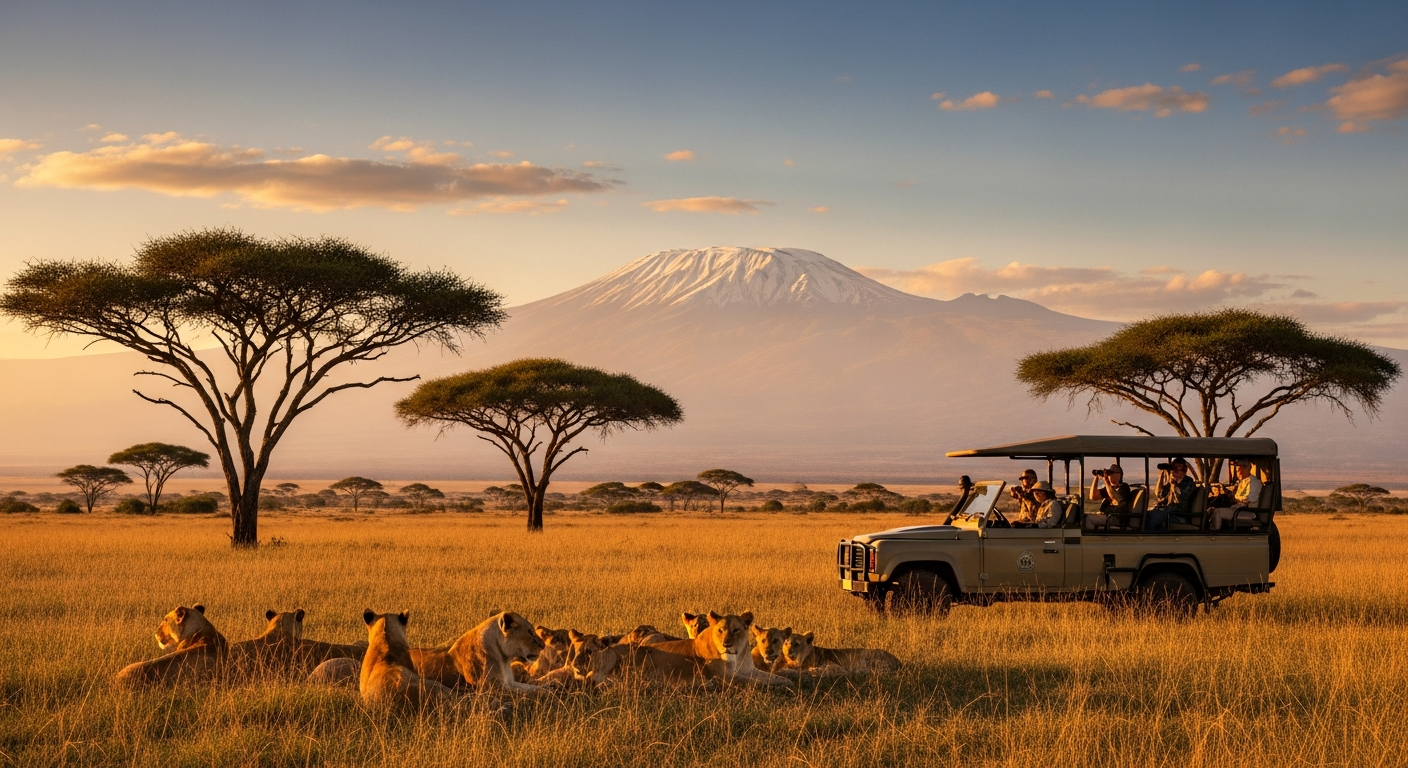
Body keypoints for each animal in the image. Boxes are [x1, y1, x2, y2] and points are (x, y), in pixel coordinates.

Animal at [646, 611, 791, 687]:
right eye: (720, 630)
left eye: (736, 630)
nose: (726, 645)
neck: (736, 657)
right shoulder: (724, 676)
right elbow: (754, 681)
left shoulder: (749, 670)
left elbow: (773, 677)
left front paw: (787, 682)